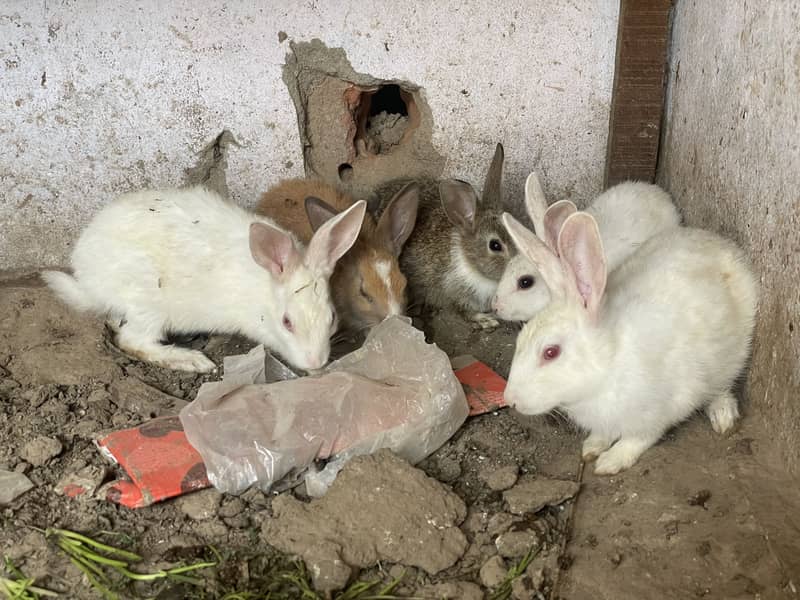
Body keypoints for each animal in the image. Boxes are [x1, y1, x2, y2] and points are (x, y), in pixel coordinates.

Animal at [42, 185, 366, 373]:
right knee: (132, 340)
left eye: (332, 318)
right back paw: (192, 361)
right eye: (287, 323)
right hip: (149, 305)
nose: (316, 363)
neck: (266, 289)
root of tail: (86, 279)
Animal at [501, 210, 758, 475]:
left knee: (722, 387)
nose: (510, 400)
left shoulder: (659, 412)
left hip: (731, 357)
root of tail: (719, 242)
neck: (607, 367)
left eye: (551, 352)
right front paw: (592, 447)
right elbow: (603, 434)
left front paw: (610, 461)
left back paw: (723, 416)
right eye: (519, 340)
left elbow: (639, 439)